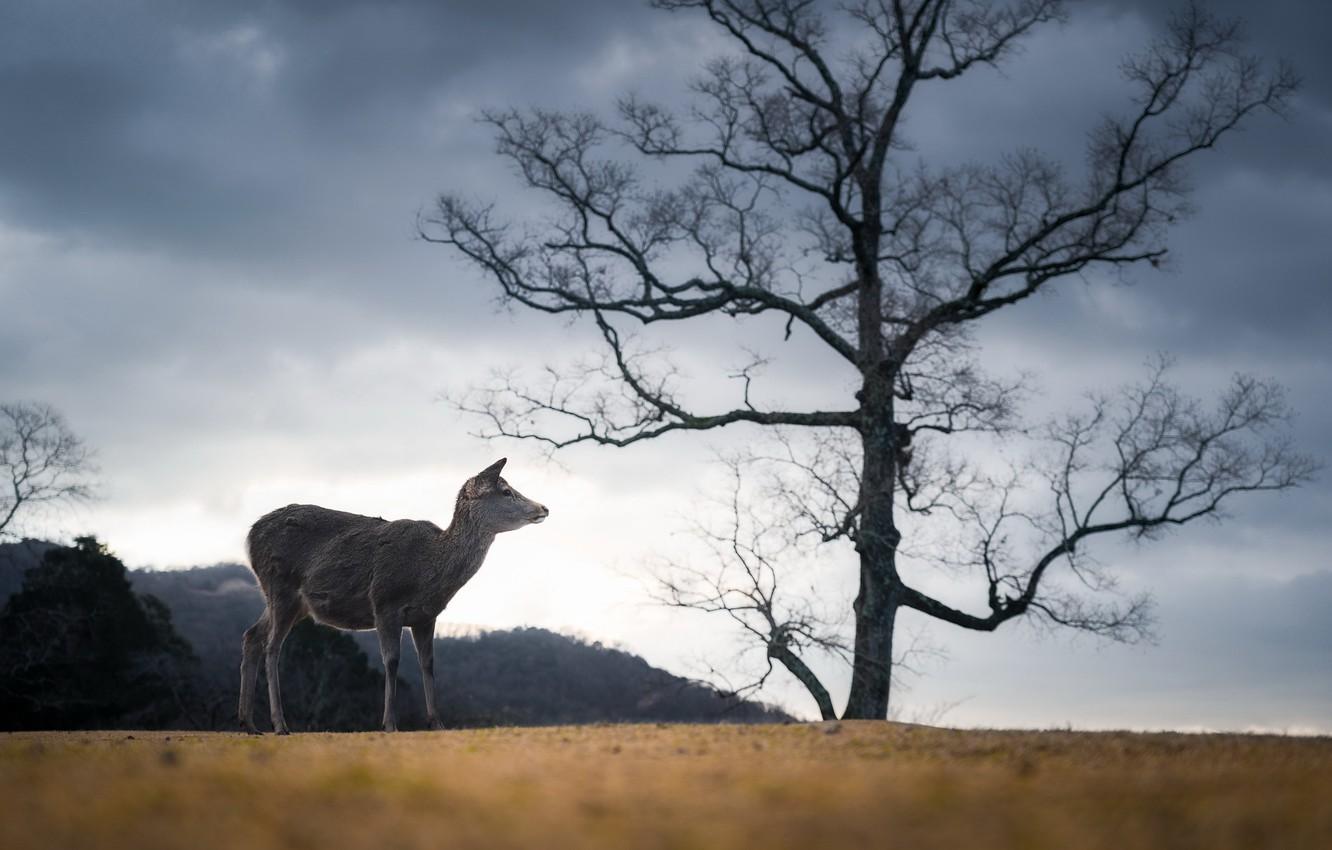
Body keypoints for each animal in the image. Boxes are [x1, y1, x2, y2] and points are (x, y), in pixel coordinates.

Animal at [238, 458, 548, 734]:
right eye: (506, 491)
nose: (543, 507)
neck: (429, 570)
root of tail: (250, 535)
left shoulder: (426, 616)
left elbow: (428, 663)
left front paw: (436, 722)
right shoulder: (385, 602)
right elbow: (392, 661)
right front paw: (389, 723)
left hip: (291, 602)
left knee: (252, 635)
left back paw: (249, 724)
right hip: (280, 585)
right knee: (272, 646)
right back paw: (280, 725)